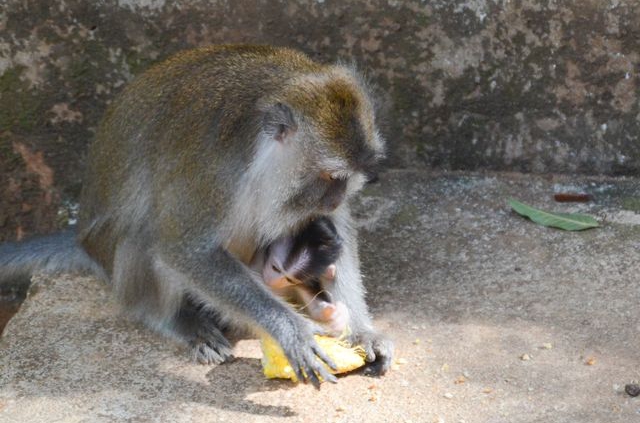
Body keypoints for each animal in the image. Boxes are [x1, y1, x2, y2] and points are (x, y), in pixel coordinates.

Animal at [0, 45, 392, 388]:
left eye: (348, 179)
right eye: (331, 177)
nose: (336, 197)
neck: (260, 153)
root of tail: (84, 241)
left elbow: (336, 230)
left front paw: (362, 331)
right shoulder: (212, 171)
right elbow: (184, 250)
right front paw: (290, 330)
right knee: (147, 233)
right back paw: (178, 320)